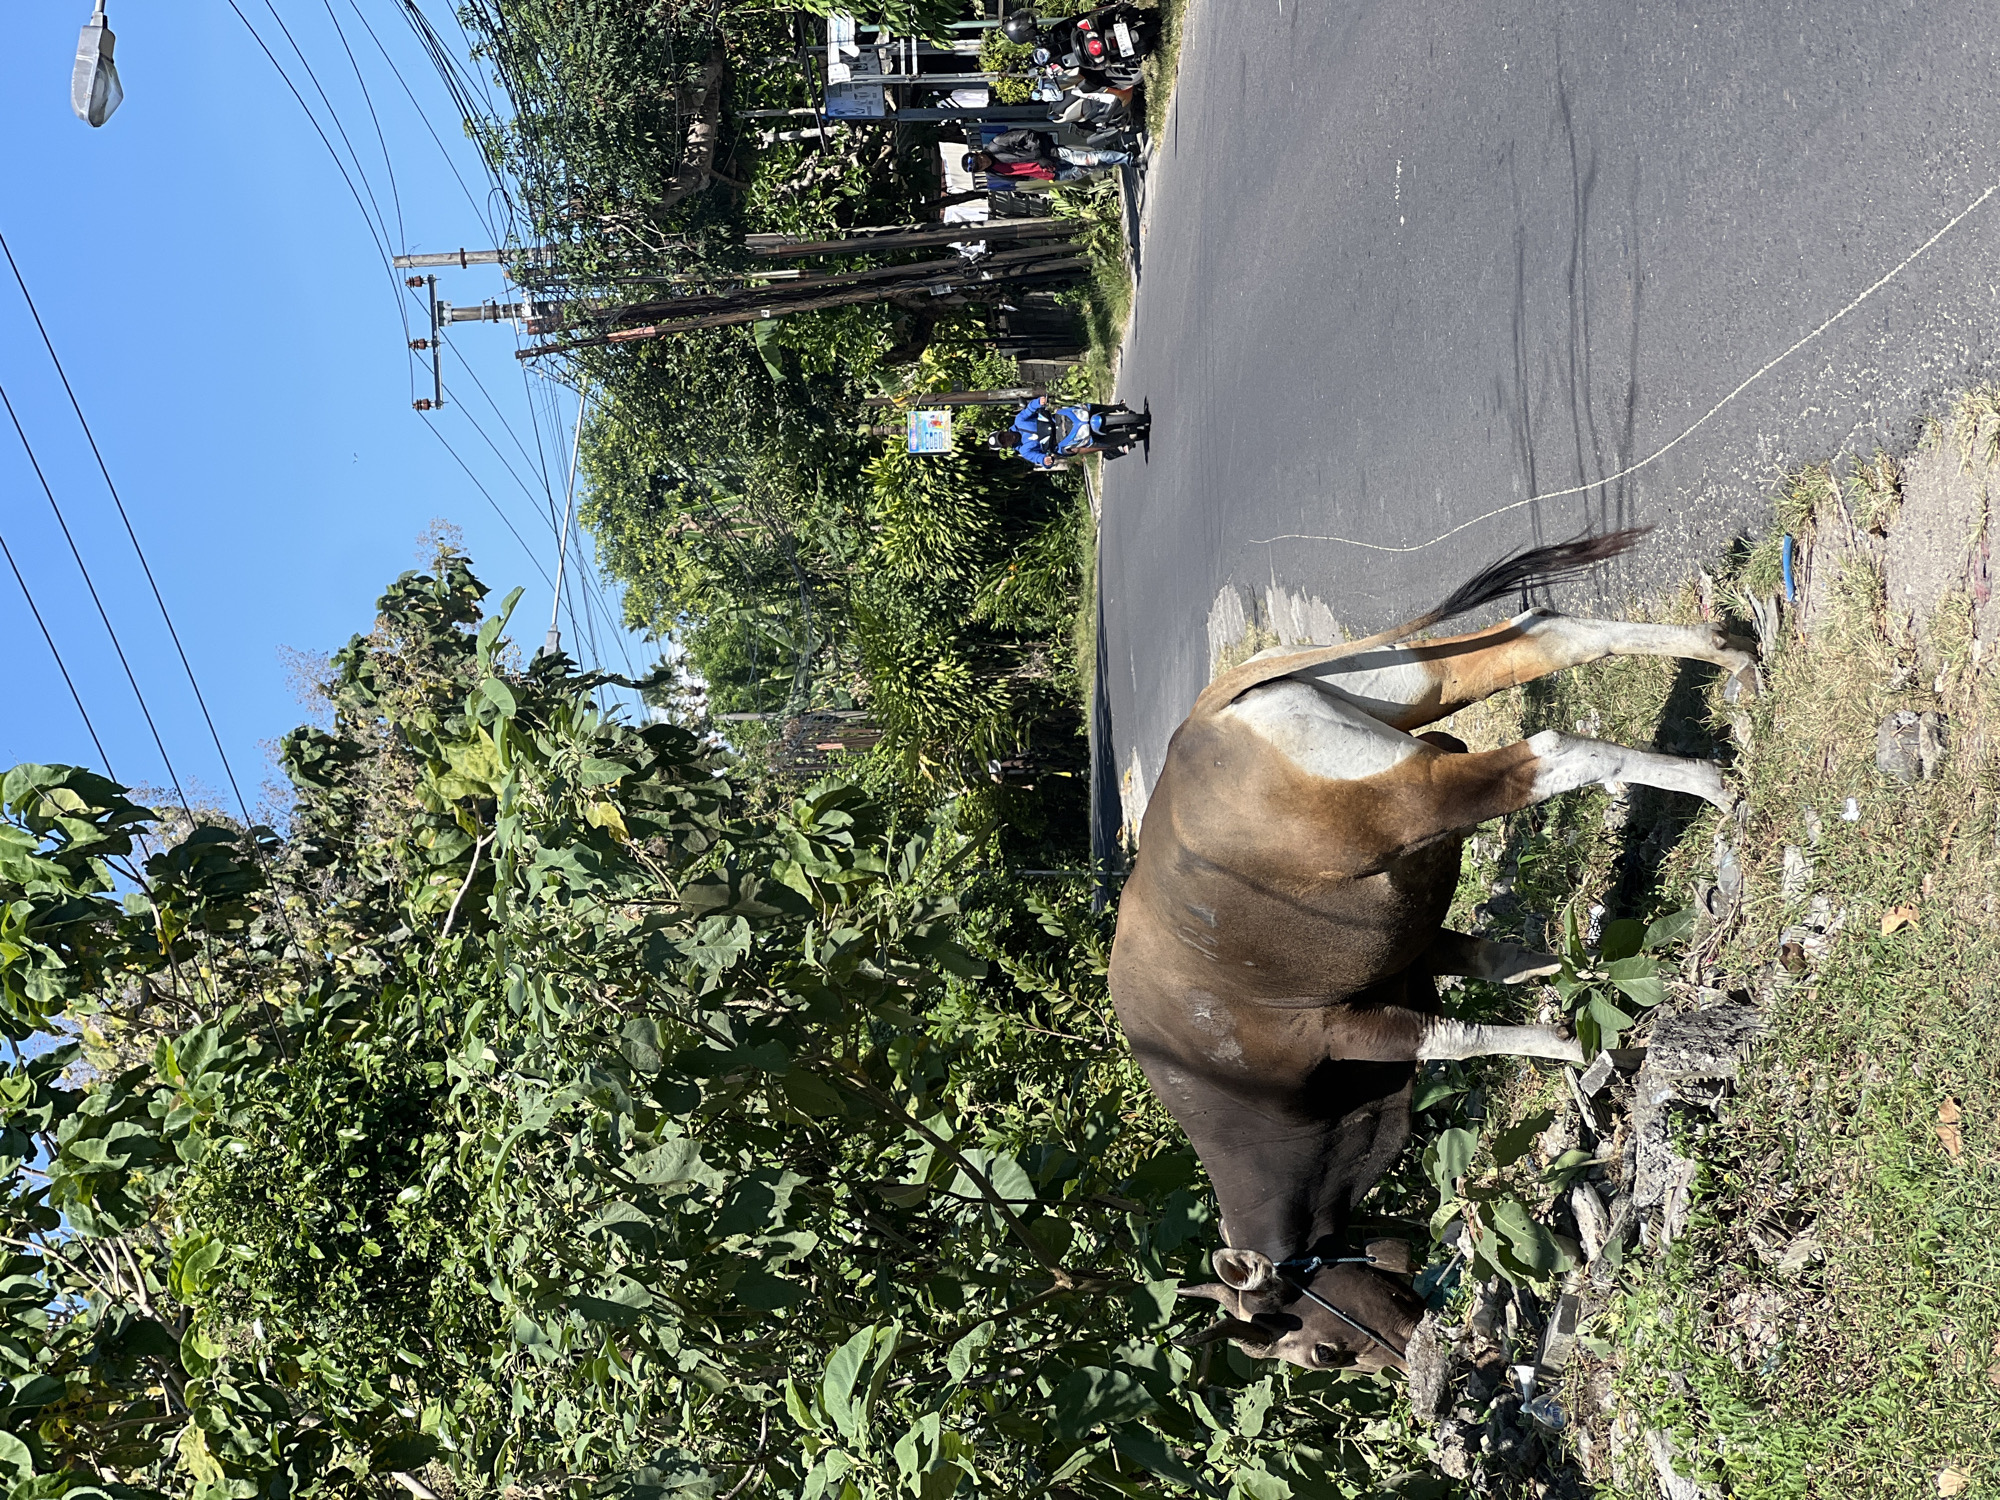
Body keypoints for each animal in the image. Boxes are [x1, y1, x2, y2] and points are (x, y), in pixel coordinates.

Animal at [1107, 531, 1757, 1374]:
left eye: (1318, 1355)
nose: (1403, 1355)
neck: (1220, 1076)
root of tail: (1209, 720)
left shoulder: (1344, 1028)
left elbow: (1461, 1037)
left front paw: (1582, 1048)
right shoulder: (1414, 951)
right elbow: (1503, 964)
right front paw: (1582, 995)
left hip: (1413, 798)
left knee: (1548, 753)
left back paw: (1715, 782)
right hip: (1413, 687)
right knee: (1546, 635)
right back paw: (1731, 652)